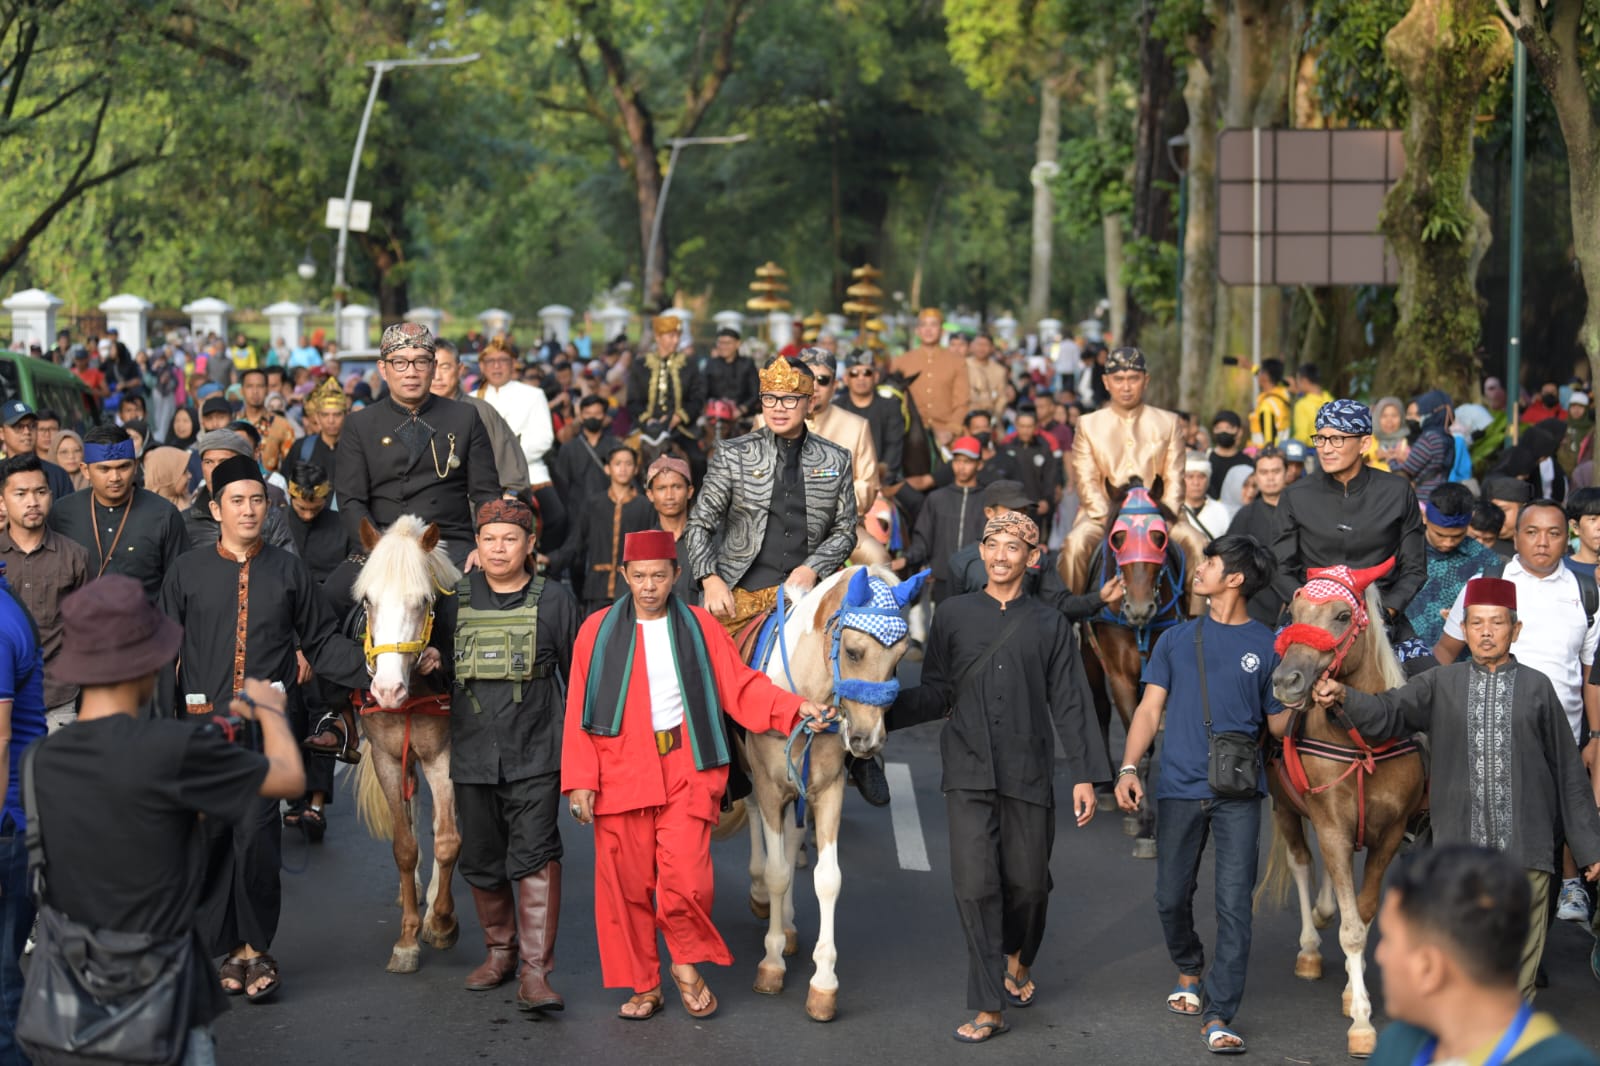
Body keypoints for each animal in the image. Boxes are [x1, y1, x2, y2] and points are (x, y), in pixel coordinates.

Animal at [352, 515, 467, 973]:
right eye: (367, 600)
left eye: (422, 600)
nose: (387, 690)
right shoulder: (386, 757)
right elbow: (404, 845)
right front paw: (407, 939)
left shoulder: (444, 756)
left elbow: (448, 839)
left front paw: (441, 922)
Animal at [736, 563, 928, 1024]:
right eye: (854, 652)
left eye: (899, 659)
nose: (867, 740)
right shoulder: (769, 786)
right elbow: (777, 872)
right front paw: (771, 964)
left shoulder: (828, 791)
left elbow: (827, 879)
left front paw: (823, 983)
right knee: (755, 823)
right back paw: (761, 899)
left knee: (791, 841)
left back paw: (787, 925)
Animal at [1068, 476, 1196, 857]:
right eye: (1118, 538)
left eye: (1159, 537)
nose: (1140, 608)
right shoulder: (1120, 676)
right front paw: (1140, 816)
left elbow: (1148, 743)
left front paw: (1147, 823)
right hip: (1090, 663)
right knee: (1099, 708)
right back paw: (1106, 788)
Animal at [1260, 563, 1427, 1056]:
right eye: (1294, 612)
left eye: (1340, 616)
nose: (1287, 681)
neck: (1360, 742)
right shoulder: (1331, 824)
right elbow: (1349, 925)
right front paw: (1363, 1022)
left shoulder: (1389, 833)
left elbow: (1365, 914)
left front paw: (1355, 994)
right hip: (1284, 807)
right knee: (1301, 863)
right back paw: (1310, 947)